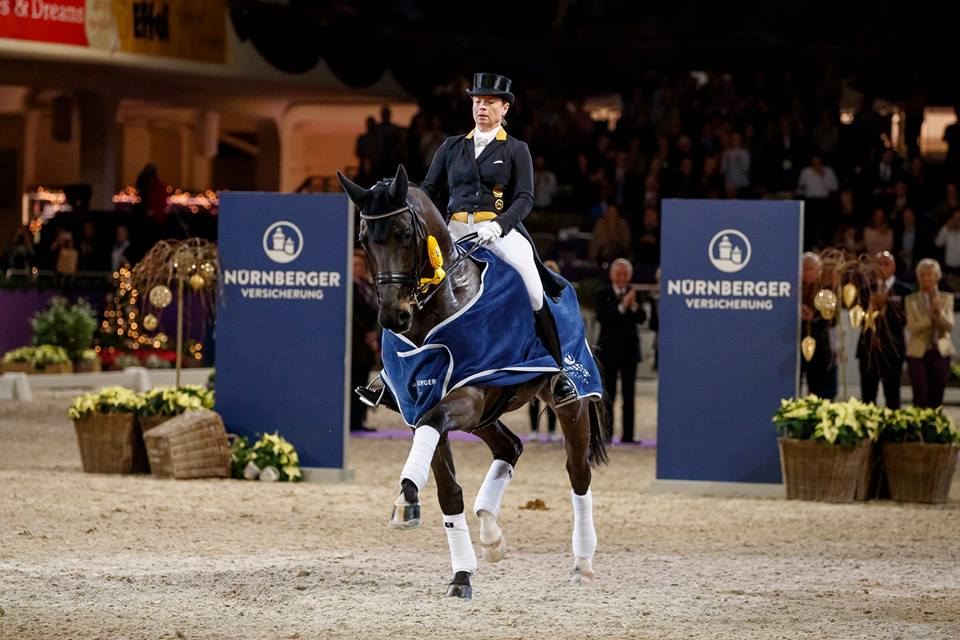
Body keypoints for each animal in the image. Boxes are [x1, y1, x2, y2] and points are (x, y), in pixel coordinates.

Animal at [338, 165, 608, 600]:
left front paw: (407, 492)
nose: (393, 316)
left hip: (568, 404)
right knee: (510, 447)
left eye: (404, 233)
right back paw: (491, 535)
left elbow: (434, 432)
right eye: (363, 239)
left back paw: (582, 562)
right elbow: (448, 491)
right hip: (486, 417)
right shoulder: (422, 404)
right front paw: (461, 573)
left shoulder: (469, 395)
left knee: (578, 473)